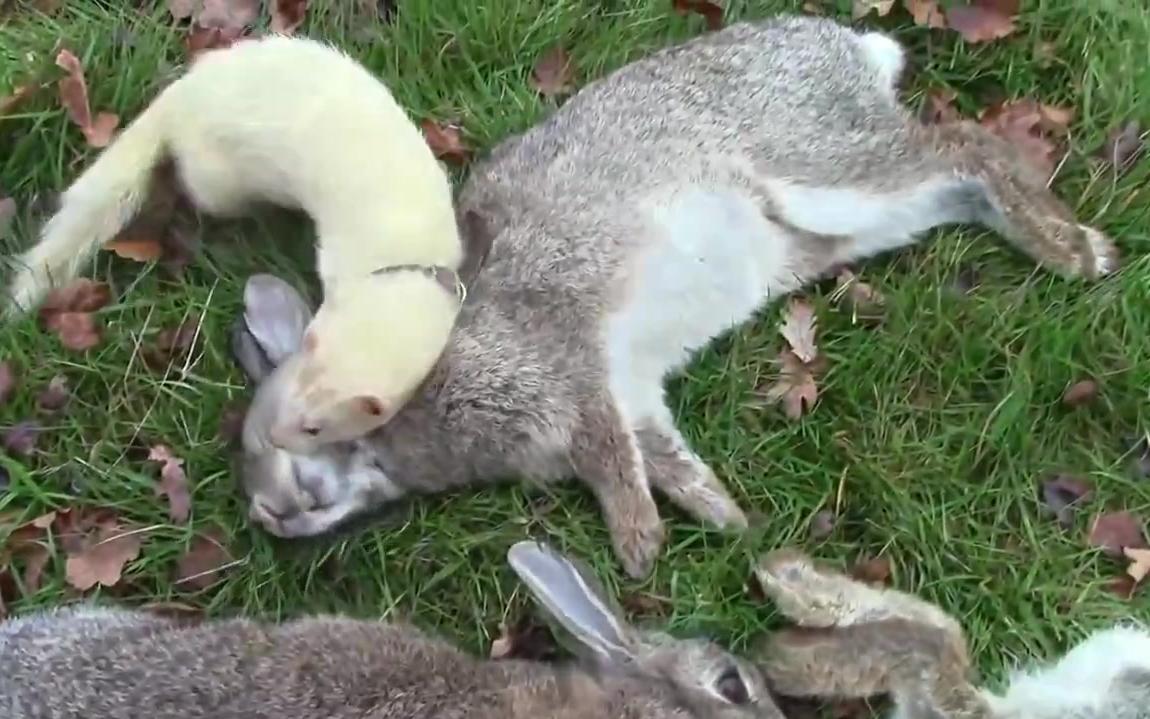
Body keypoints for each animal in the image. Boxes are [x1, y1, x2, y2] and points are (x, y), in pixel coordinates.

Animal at [228, 15, 1117, 577]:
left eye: (278, 434)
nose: (270, 515)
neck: (411, 378)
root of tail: (851, 48)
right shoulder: (630, 395)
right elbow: (658, 452)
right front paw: (725, 517)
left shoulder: (567, 367)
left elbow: (609, 455)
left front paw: (639, 545)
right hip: (853, 221)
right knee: (957, 180)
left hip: (825, 168)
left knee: (968, 146)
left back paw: (1077, 252)